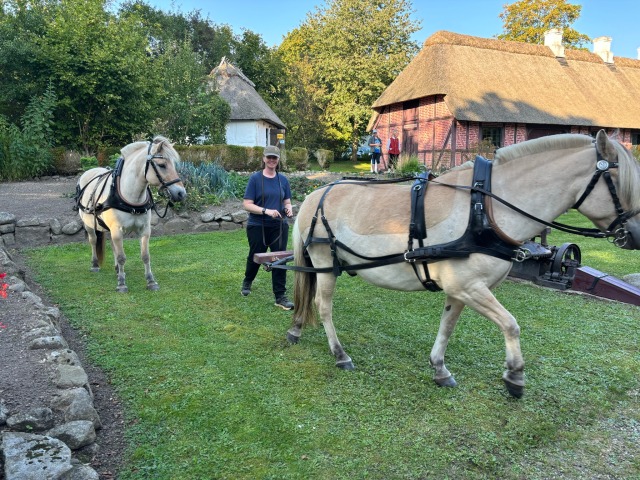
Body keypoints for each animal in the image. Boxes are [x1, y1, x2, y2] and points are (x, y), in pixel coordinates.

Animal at [76, 135, 185, 292]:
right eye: (162, 165)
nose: (181, 193)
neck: (130, 196)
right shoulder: (117, 229)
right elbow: (122, 257)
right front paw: (121, 283)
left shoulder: (144, 230)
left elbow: (145, 256)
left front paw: (150, 281)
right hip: (89, 225)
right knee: (93, 240)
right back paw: (95, 264)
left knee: (112, 245)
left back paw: (117, 269)